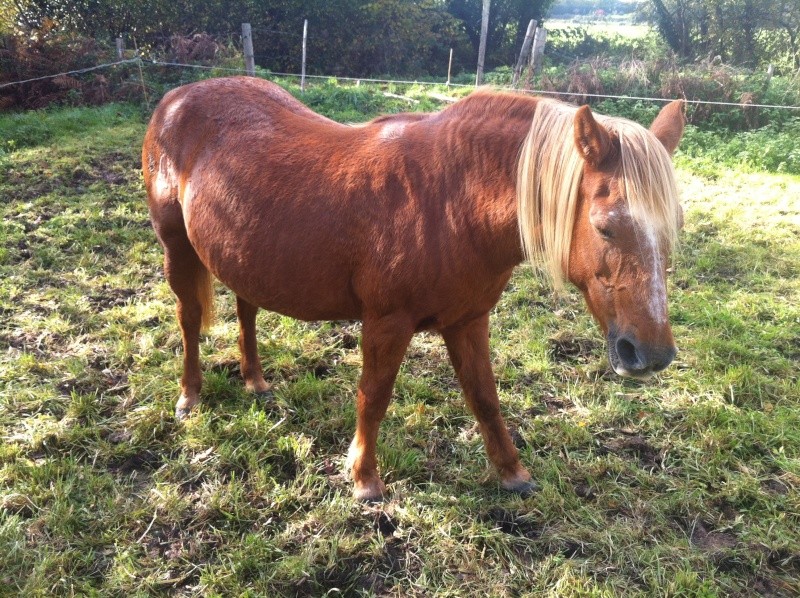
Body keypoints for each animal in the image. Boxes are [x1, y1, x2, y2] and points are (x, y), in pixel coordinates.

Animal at [142, 78, 680, 502]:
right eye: (605, 227)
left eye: (671, 230)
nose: (651, 355)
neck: (450, 198)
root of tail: (176, 97)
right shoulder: (387, 323)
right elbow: (374, 396)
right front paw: (364, 479)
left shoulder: (469, 319)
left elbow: (485, 397)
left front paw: (512, 473)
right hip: (176, 248)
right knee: (189, 319)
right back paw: (189, 396)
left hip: (244, 256)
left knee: (247, 310)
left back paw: (255, 380)